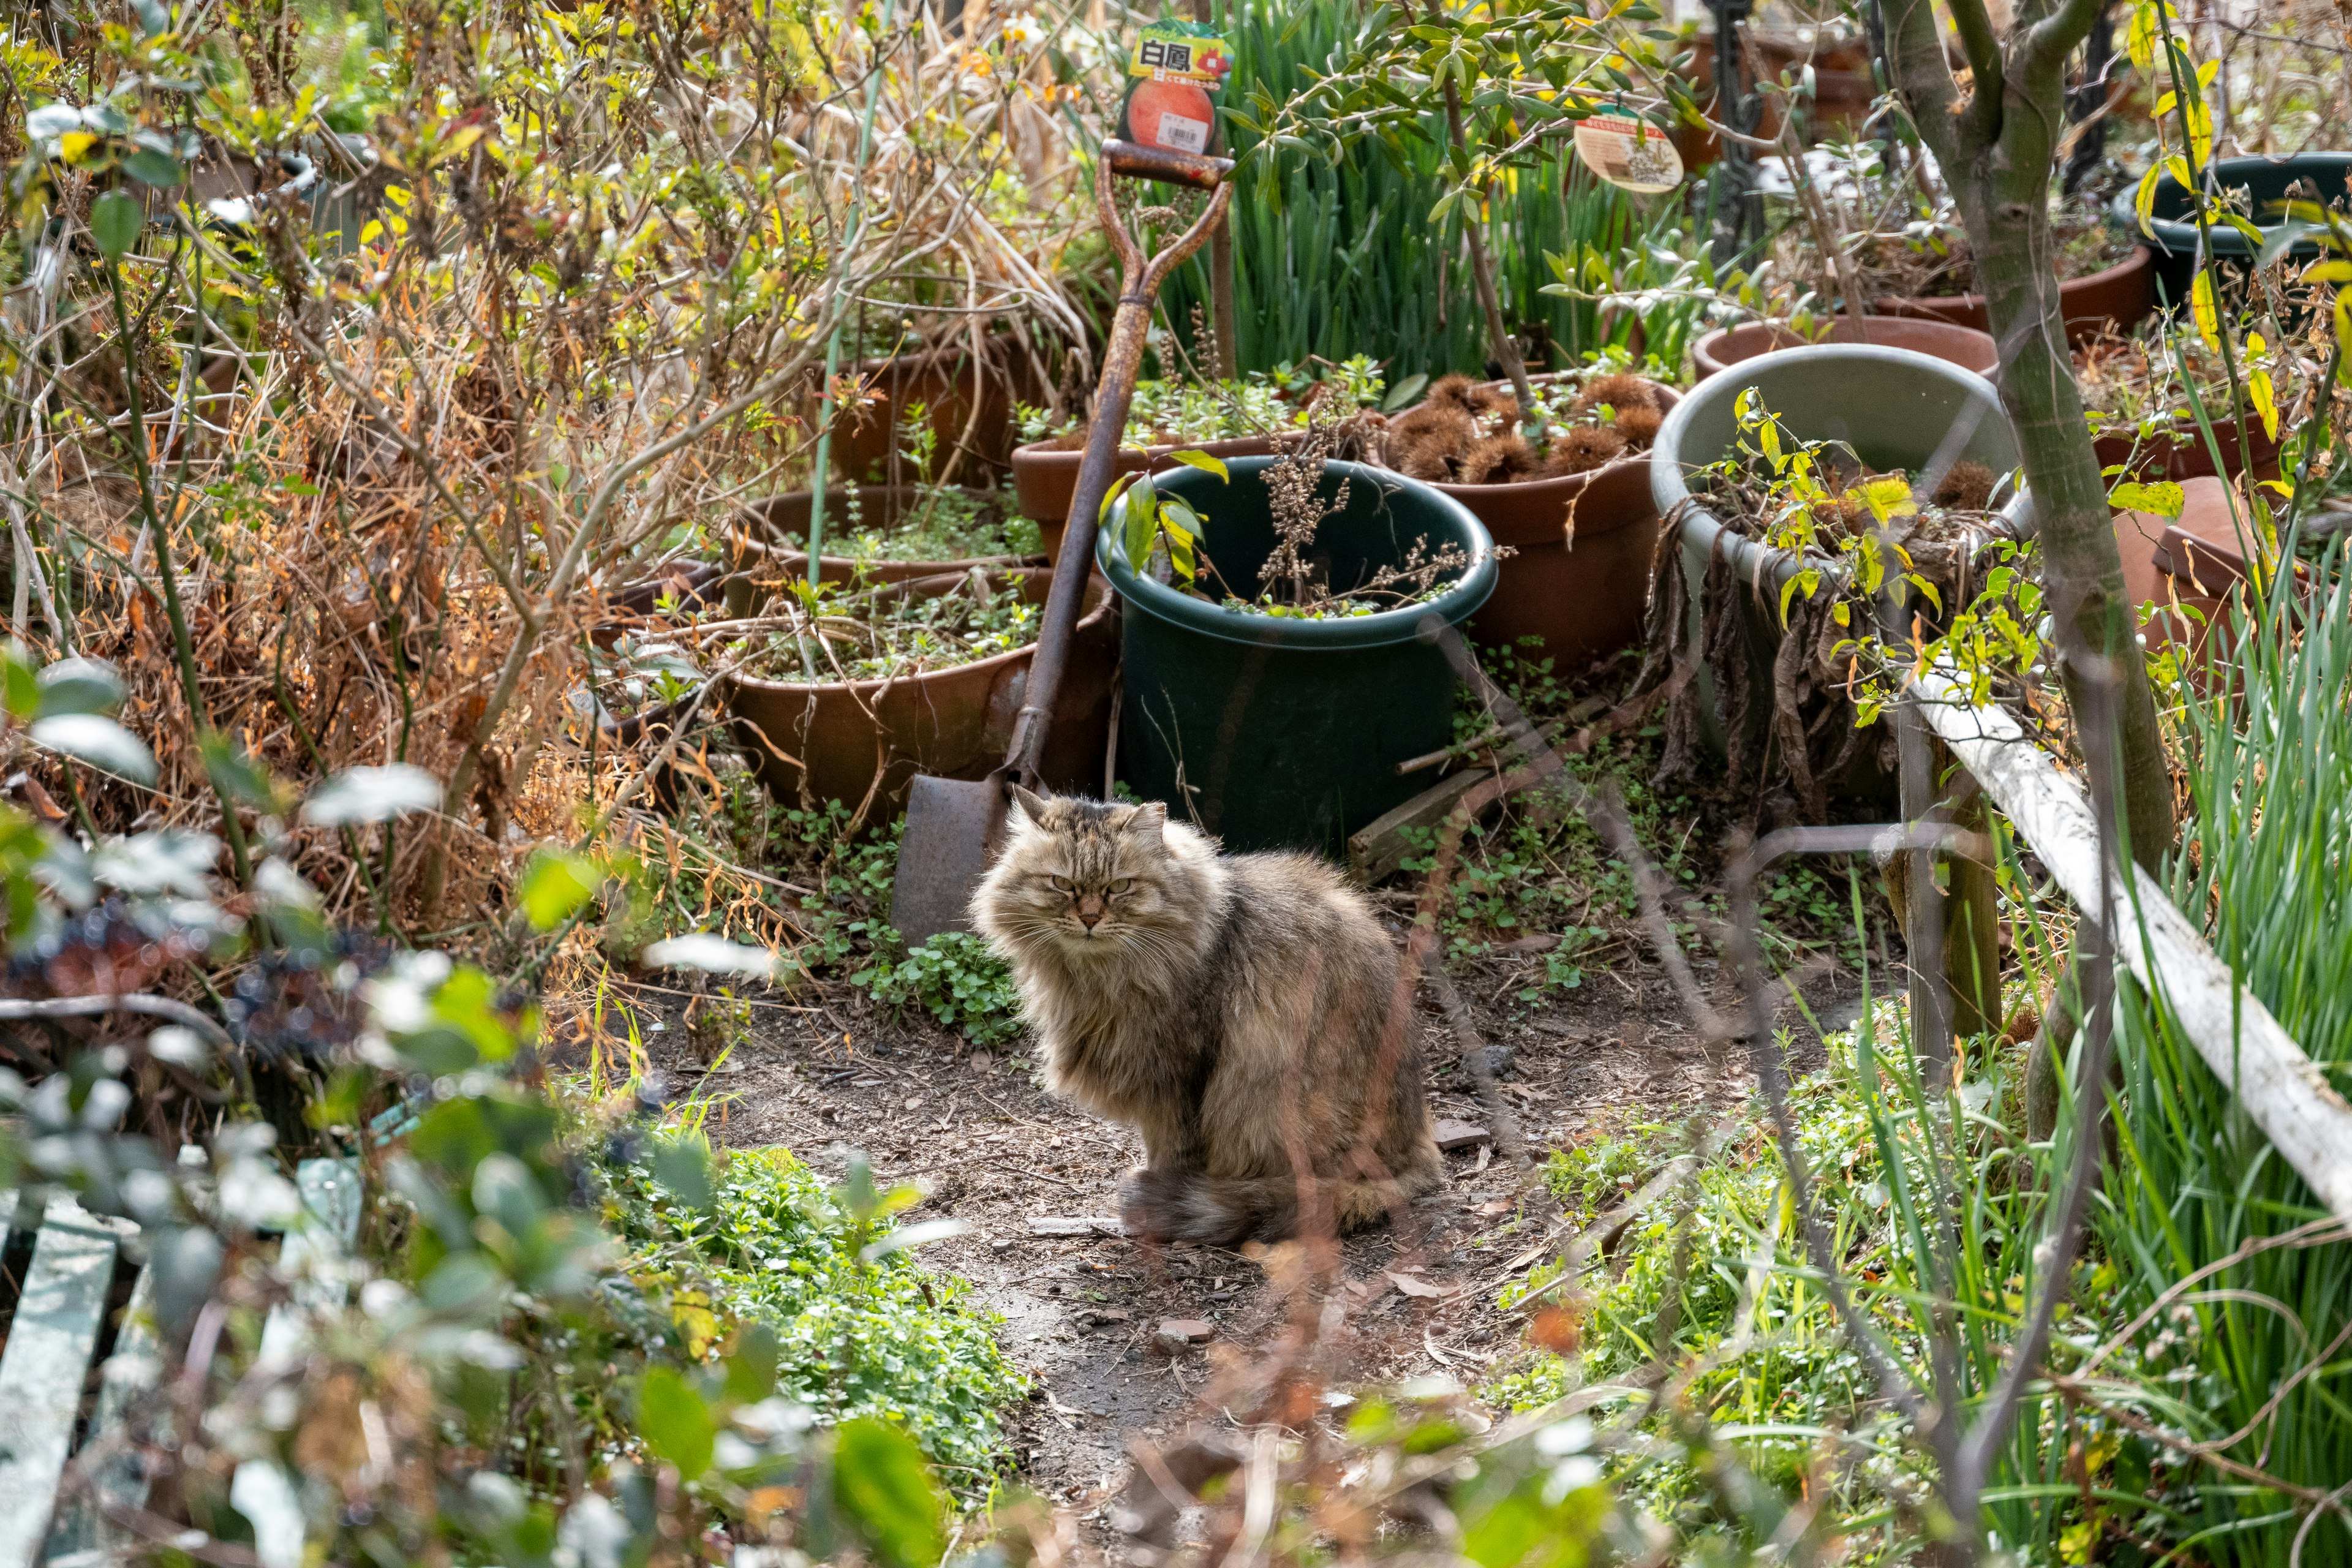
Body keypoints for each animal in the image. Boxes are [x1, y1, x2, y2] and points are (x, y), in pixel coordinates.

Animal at [969, 790, 1439, 1241]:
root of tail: (1417, 1149)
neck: (1100, 977)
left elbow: (1171, 1152)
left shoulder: (1180, 1074)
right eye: (1061, 884)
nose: (1089, 919)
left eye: (1120, 886)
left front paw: (1155, 1203)